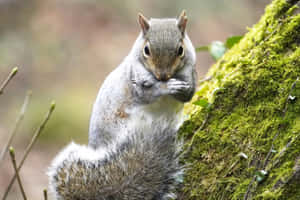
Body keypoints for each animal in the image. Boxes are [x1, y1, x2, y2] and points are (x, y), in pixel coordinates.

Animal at [47, 10, 197, 200]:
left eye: (180, 50)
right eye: (146, 50)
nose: (162, 76)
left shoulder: (191, 75)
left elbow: (188, 94)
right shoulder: (134, 79)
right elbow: (146, 93)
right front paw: (165, 87)